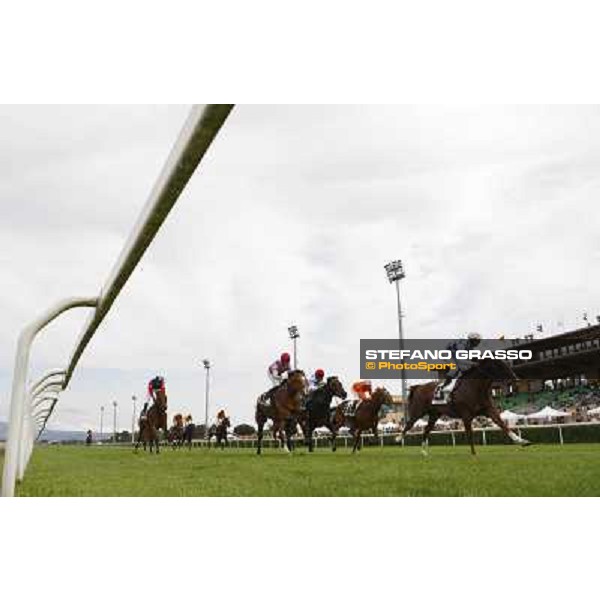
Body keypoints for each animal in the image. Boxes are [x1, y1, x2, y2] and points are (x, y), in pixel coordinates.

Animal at [398, 358, 528, 458]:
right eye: (500, 366)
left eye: (508, 364)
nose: (516, 379)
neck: (476, 388)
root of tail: (418, 387)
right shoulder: (466, 415)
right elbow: (469, 434)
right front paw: (474, 454)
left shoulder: (489, 410)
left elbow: (503, 425)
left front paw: (521, 441)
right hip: (418, 411)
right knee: (409, 424)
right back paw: (398, 438)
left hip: (434, 415)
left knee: (426, 429)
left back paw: (424, 452)